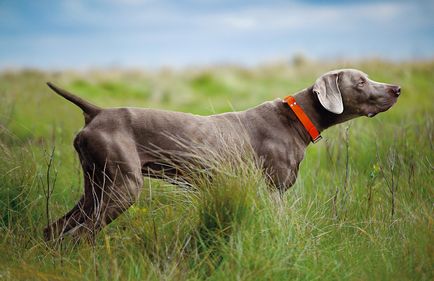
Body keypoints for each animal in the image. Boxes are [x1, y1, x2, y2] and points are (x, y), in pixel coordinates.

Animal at [43, 67, 400, 238]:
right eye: (361, 81)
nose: (397, 88)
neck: (297, 118)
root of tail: (97, 112)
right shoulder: (272, 192)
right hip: (123, 186)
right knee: (79, 235)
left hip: (96, 185)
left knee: (56, 230)